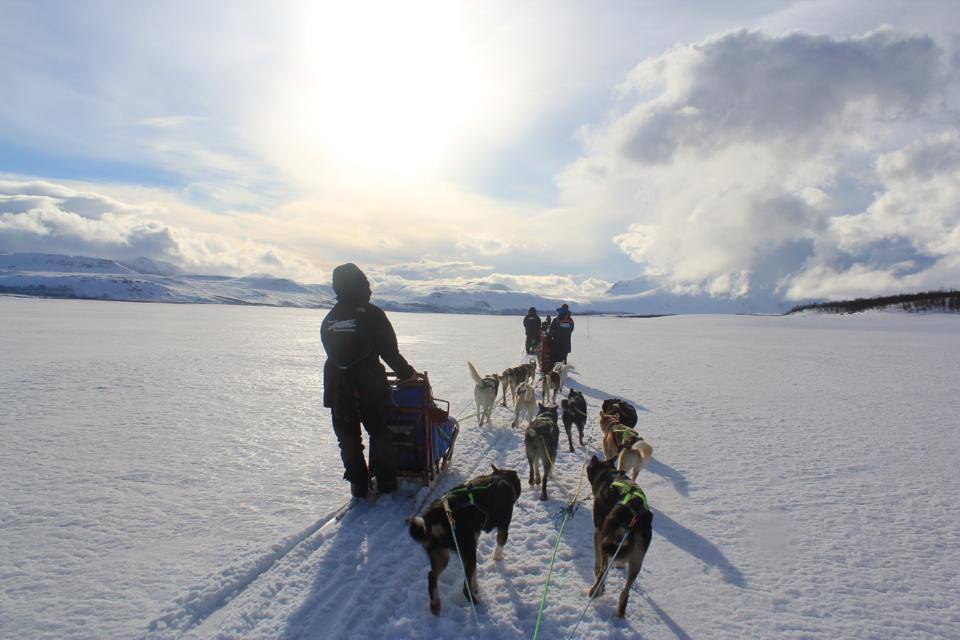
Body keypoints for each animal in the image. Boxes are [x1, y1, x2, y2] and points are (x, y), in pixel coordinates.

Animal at [408, 464, 520, 616]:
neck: (499, 477)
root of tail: (435, 515)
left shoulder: (473, 542)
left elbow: (474, 574)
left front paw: (475, 585)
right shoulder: (503, 527)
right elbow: (500, 545)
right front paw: (498, 557)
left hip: (442, 555)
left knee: (431, 575)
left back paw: (435, 603)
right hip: (466, 551)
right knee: (464, 589)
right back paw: (477, 603)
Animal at [584, 456, 652, 620]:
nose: (593, 456)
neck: (609, 474)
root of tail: (636, 517)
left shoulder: (598, 532)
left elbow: (598, 565)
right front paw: (620, 564)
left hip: (605, 541)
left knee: (603, 572)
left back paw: (596, 590)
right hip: (636, 563)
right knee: (625, 592)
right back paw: (620, 612)